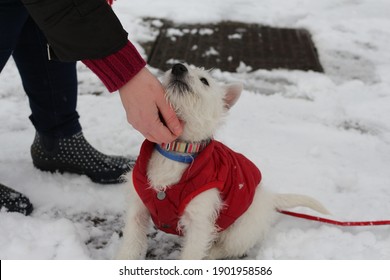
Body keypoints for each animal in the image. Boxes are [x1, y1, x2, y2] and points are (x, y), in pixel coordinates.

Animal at [116, 63, 330, 260]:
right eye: (169, 71)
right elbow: (131, 245)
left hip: (240, 231)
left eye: (204, 81)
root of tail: (268, 198)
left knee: (227, 248)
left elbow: (191, 255)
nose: (178, 67)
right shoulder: (138, 210)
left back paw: (211, 254)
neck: (177, 150)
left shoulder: (200, 223)